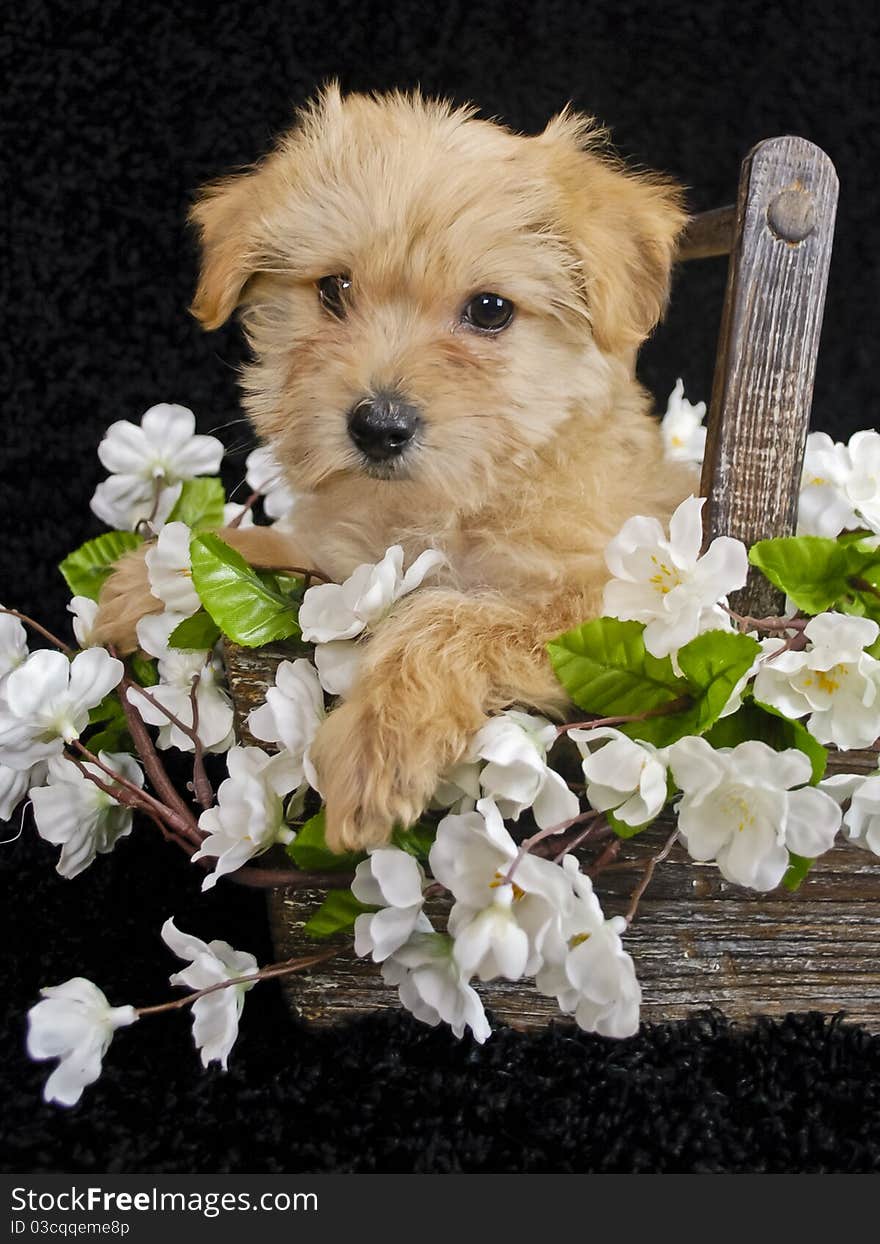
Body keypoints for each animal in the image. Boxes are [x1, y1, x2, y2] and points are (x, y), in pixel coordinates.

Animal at [94, 82, 697, 850]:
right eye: (334, 289)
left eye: (490, 309)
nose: (377, 427)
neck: (439, 505)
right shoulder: (341, 565)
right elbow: (271, 548)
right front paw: (148, 580)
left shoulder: (608, 606)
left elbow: (450, 617)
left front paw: (374, 746)